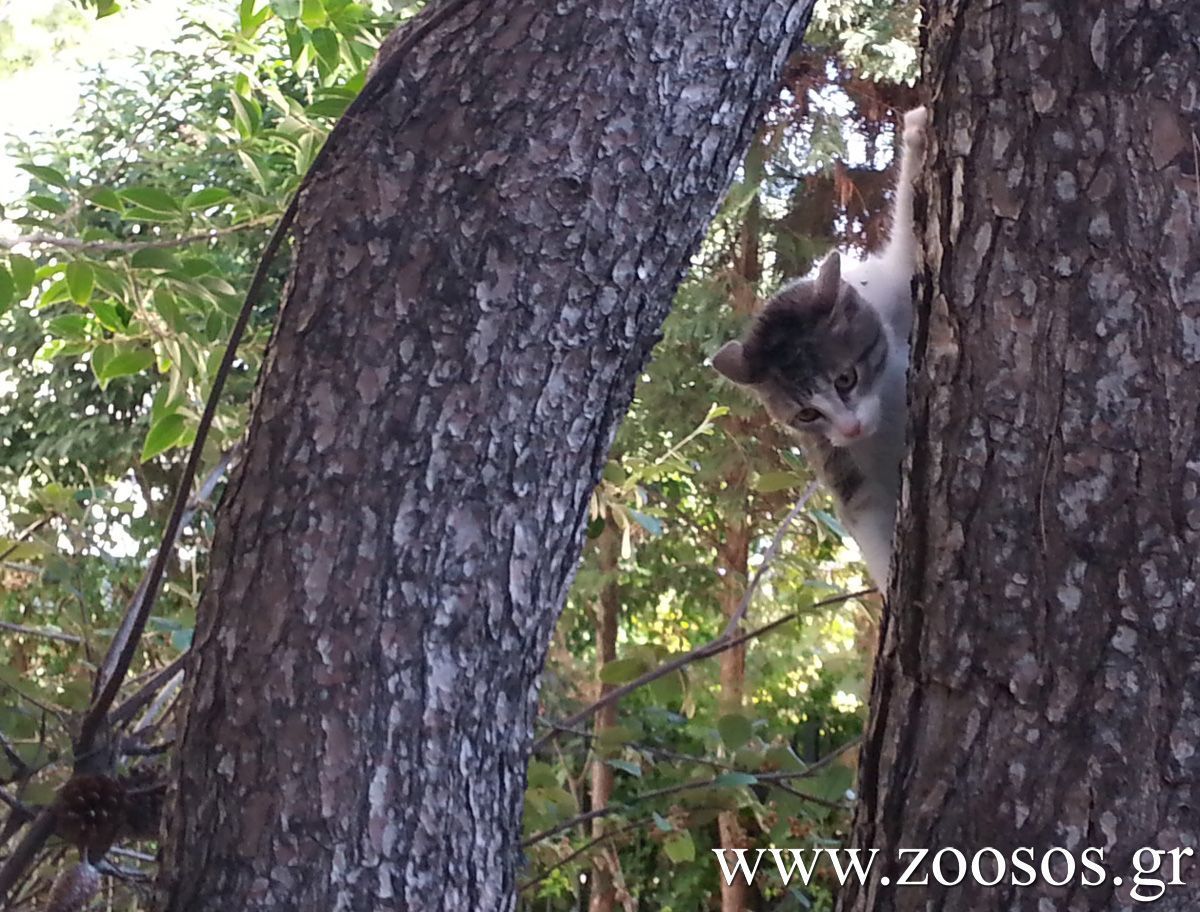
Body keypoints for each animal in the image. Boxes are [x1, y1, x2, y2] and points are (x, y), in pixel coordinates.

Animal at [710, 108, 926, 590]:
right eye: (807, 414)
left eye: (846, 378)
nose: (849, 429)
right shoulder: (849, 477)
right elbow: (871, 525)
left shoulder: (897, 287)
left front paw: (919, 130)